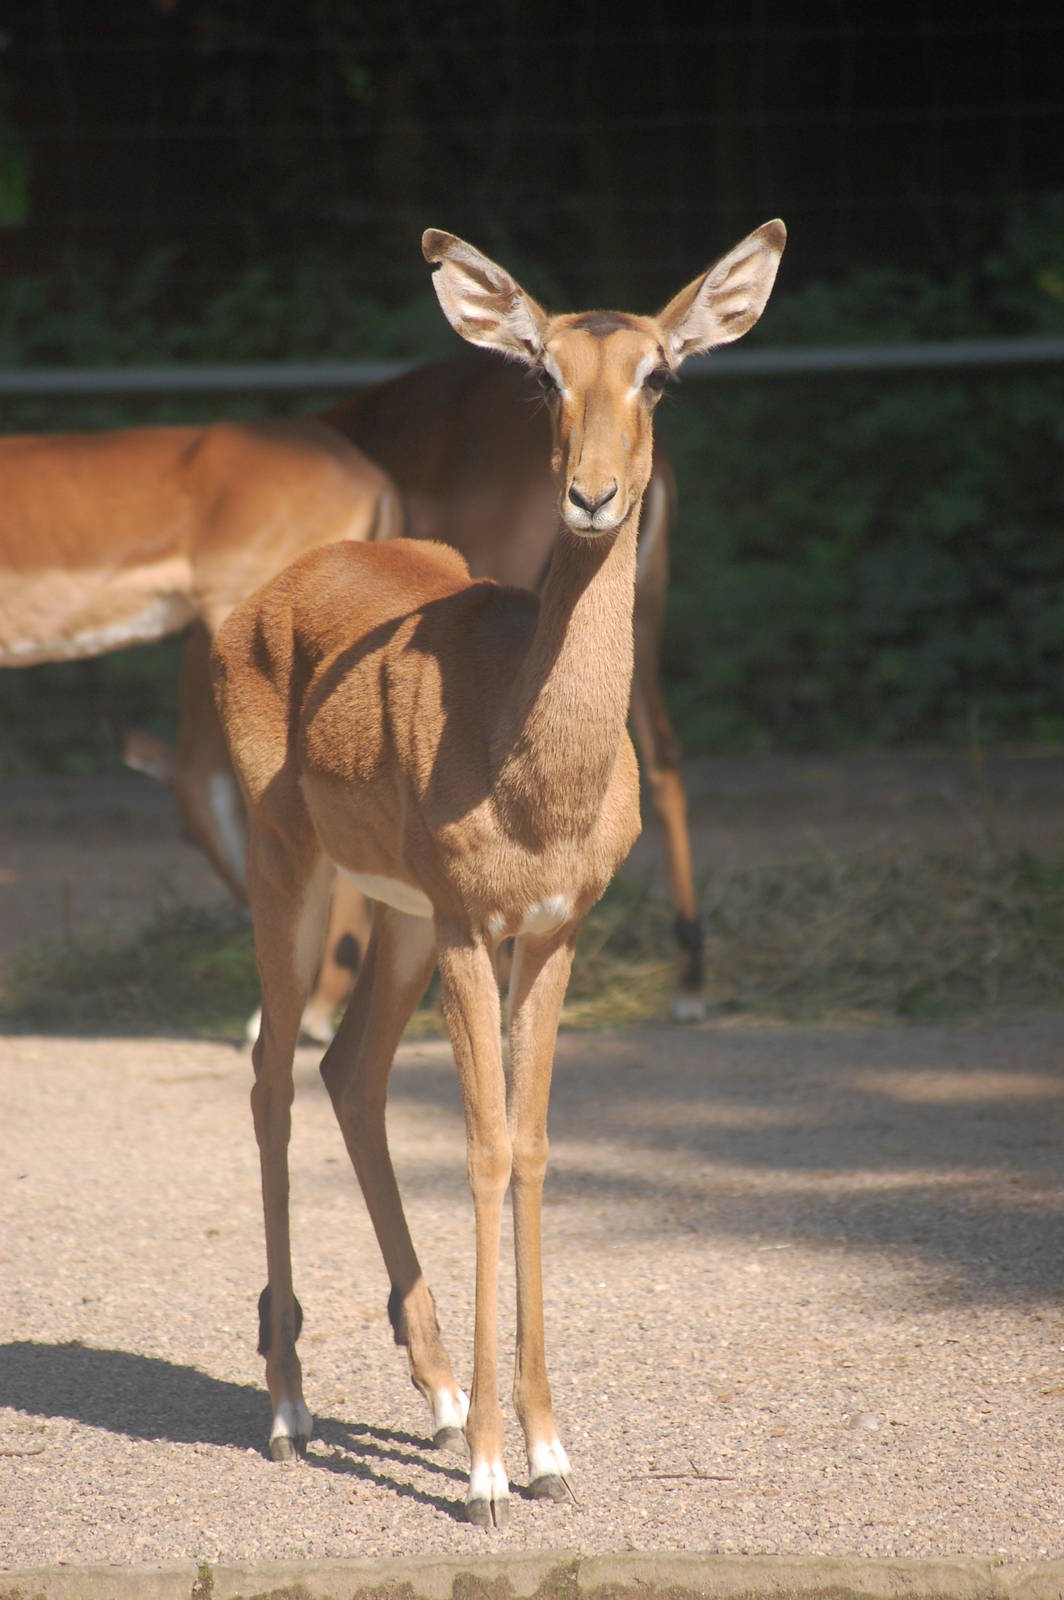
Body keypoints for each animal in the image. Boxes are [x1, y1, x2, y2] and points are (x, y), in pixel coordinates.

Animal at [211, 220, 785, 1525]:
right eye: (541, 372)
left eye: (658, 373)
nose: (593, 495)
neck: (533, 757)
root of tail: (261, 601)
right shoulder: (476, 923)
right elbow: (474, 1150)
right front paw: (482, 1478)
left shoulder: (551, 927)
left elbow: (527, 1148)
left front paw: (546, 1447)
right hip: (293, 871)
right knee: (271, 1074)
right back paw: (289, 1407)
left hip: (394, 915)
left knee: (348, 1069)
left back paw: (433, 1392)